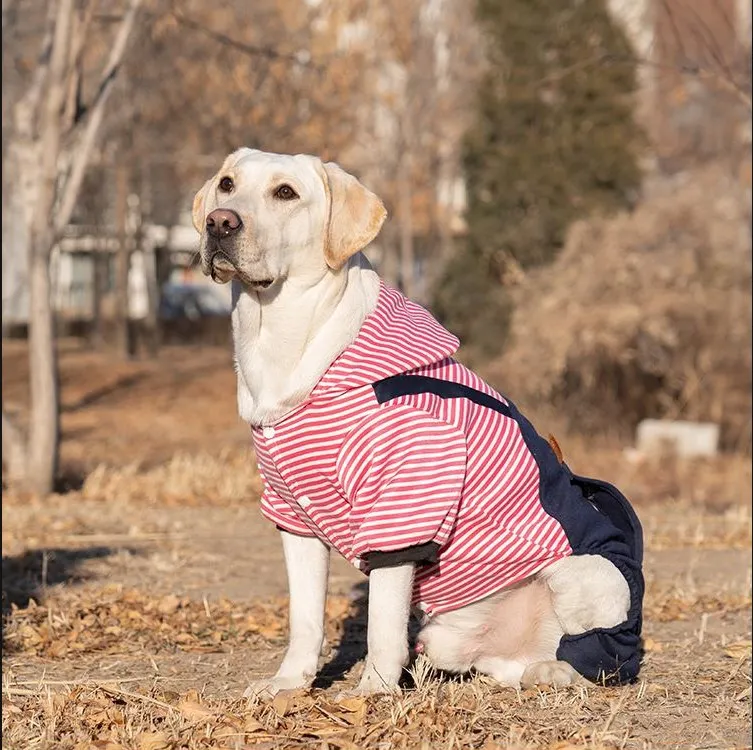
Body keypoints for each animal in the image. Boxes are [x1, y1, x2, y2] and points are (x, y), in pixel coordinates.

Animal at [191, 148, 644, 700]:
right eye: (227, 185)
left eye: (285, 193)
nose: (219, 222)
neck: (280, 340)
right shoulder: (292, 513)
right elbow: (306, 619)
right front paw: (288, 683)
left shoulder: (405, 500)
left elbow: (382, 623)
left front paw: (371, 694)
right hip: (449, 634)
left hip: (594, 577)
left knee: (595, 660)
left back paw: (553, 672)